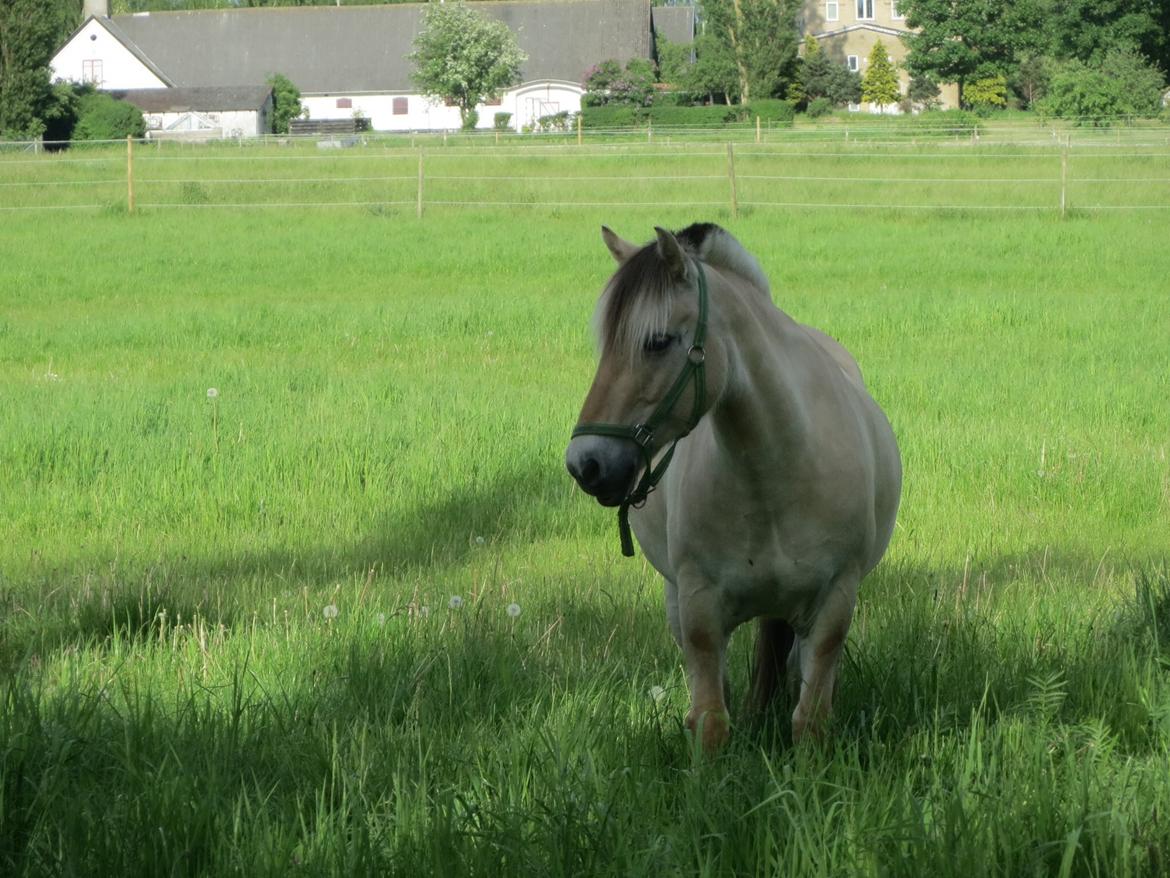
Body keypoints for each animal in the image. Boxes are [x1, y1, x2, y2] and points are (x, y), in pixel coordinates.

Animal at [566, 224, 903, 749]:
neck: (775, 473)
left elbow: (810, 721)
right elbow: (710, 720)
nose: (586, 464)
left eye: (658, 342)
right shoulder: (699, 607)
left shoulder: (834, 603)